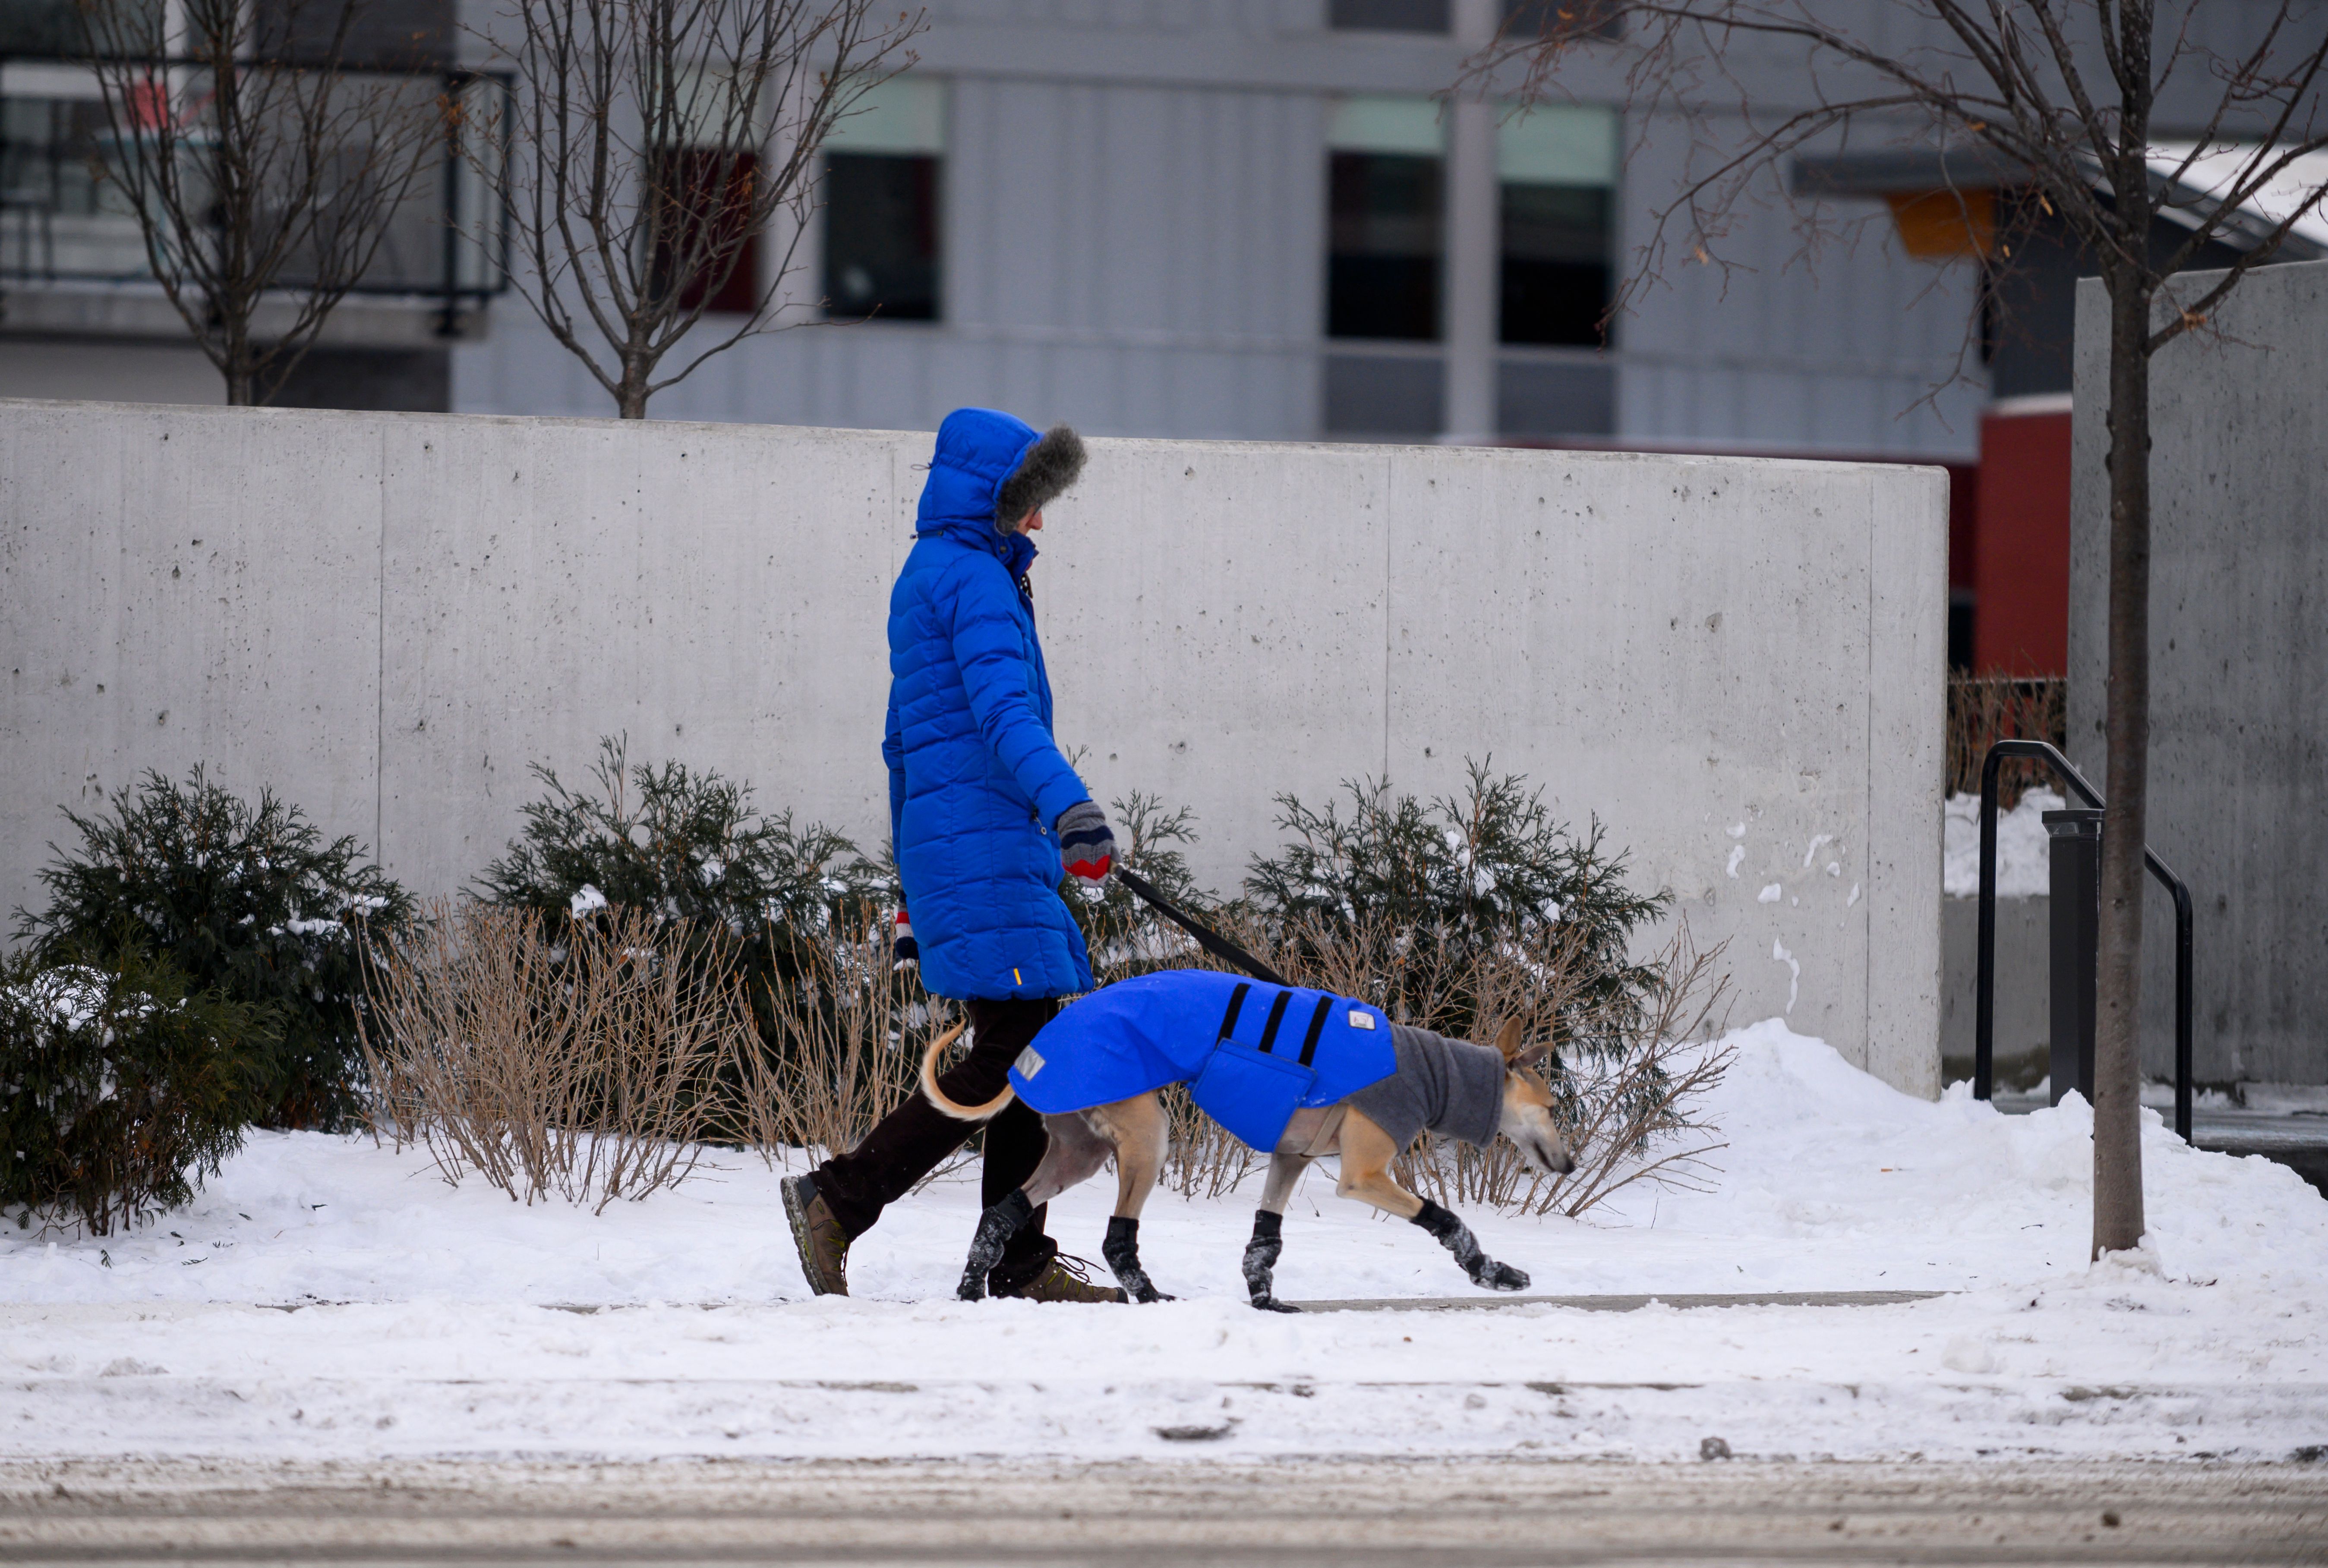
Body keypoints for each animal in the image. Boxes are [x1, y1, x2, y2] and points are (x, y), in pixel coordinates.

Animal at [917, 963, 1574, 1303]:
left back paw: (971, 1286)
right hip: (1145, 1135)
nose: (1569, 1165)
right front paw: (1491, 1271)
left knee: (1002, 1212)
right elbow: (1448, 1220)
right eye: (1553, 1105)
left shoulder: (1291, 1158)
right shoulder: (1363, 1175)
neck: (1425, 1069)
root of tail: (1031, 1053)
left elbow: (1266, 1237)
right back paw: (1148, 1295)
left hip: (1080, 1150)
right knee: (1116, 1237)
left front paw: (1264, 1299)